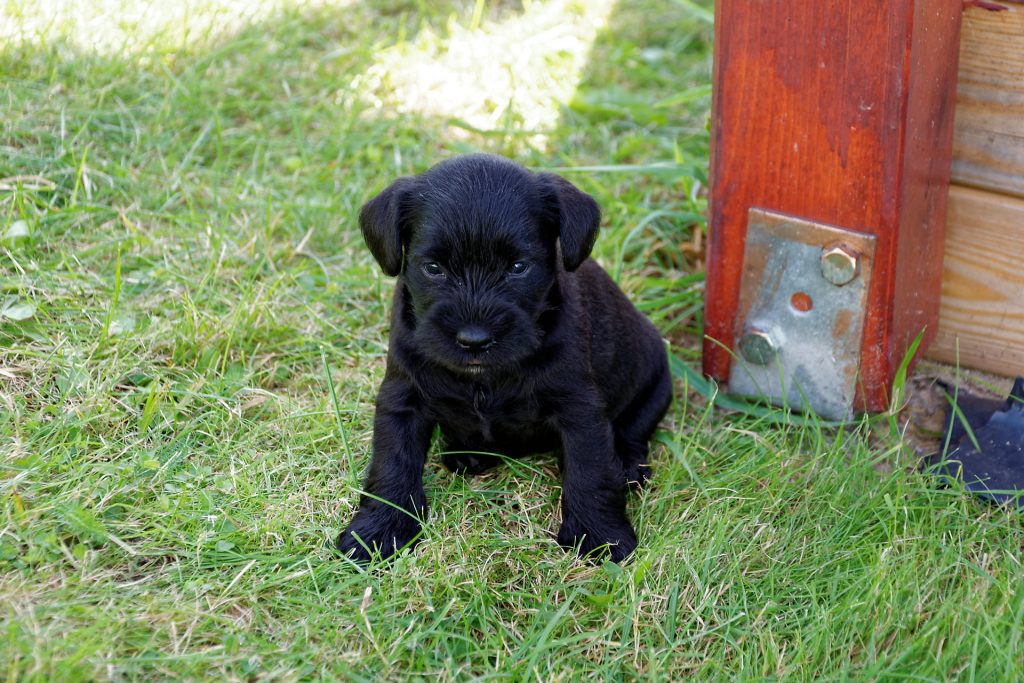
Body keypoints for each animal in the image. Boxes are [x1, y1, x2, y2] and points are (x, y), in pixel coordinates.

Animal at [335, 153, 671, 561]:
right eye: (433, 268)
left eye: (517, 267)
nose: (474, 340)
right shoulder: (402, 399)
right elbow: (392, 463)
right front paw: (380, 529)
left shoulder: (580, 409)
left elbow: (590, 472)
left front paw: (599, 535)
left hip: (655, 385)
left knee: (634, 429)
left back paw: (628, 466)